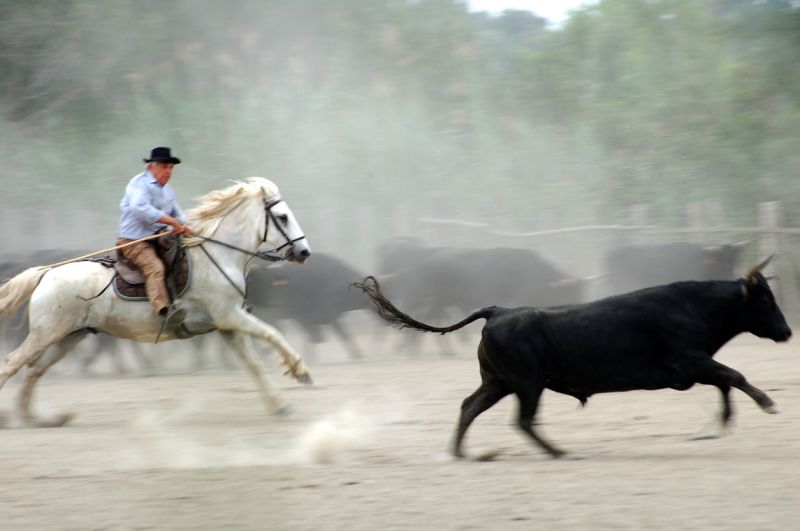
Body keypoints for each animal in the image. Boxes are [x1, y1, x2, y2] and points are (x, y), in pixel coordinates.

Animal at [0, 179, 312, 428]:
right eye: (283, 217)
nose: (303, 251)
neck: (218, 256)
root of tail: (46, 273)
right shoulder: (231, 316)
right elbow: (273, 334)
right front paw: (301, 372)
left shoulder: (228, 326)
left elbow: (254, 364)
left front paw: (281, 405)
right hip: (45, 333)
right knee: (13, 364)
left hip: (69, 336)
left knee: (34, 371)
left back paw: (41, 419)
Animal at [354, 256, 792, 458]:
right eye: (764, 299)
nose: (787, 332)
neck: (695, 305)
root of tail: (499, 311)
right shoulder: (692, 361)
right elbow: (734, 376)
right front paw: (767, 404)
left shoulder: (695, 367)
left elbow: (726, 382)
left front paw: (724, 422)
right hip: (527, 384)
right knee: (522, 420)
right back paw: (559, 451)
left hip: (499, 382)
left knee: (469, 407)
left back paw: (461, 452)